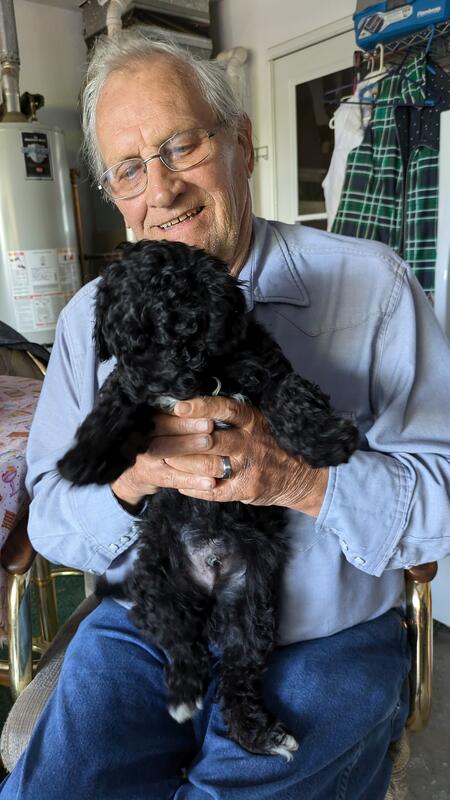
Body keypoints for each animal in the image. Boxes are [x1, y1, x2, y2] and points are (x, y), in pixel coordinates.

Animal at [58, 239, 359, 760]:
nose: (153, 384)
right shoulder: (129, 391)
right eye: (128, 344)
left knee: (239, 666)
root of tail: (210, 583)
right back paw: (185, 692)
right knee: (180, 643)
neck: (204, 376)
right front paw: (86, 457)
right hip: (160, 581)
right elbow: (112, 404)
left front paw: (324, 440)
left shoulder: (262, 365)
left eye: (180, 333)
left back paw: (256, 730)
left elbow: (289, 393)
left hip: (252, 602)